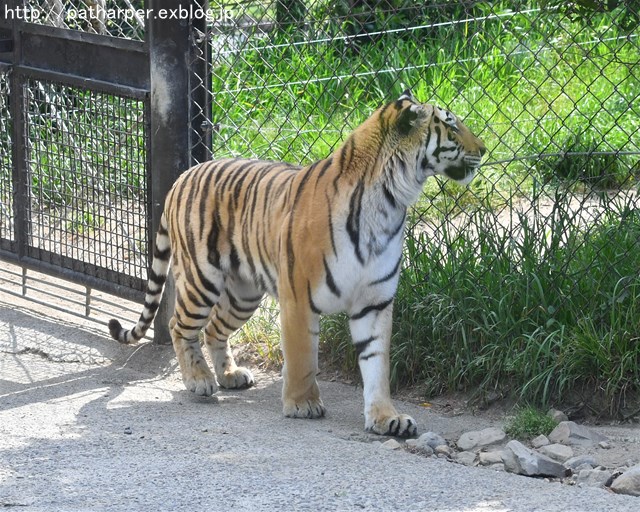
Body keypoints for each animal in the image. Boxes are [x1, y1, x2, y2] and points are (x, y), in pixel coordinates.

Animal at [110, 91, 484, 436]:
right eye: (451, 125)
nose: (482, 149)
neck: (391, 201)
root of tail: (184, 175)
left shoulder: (375, 301)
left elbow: (377, 364)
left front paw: (386, 417)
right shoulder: (299, 297)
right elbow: (303, 357)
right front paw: (303, 404)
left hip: (244, 295)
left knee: (214, 328)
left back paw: (229, 375)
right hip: (201, 279)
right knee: (179, 325)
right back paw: (199, 379)